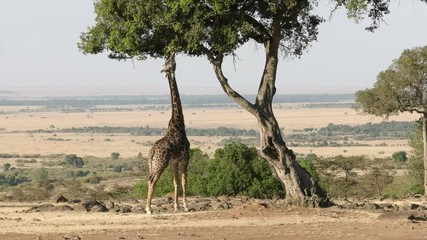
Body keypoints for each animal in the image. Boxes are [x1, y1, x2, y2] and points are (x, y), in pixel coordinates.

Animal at [145, 52, 189, 214]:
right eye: (171, 63)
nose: (173, 53)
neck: (179, 124)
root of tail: (152, 152)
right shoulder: (186, 157)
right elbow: (184, 181)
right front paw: (186, 206)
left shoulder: (174, 162)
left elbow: (175, 182)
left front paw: (176, 207)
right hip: (160, 164)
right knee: (153, 180)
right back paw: (148, 209)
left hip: (152, 164)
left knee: (149, 179)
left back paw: (148, 207)